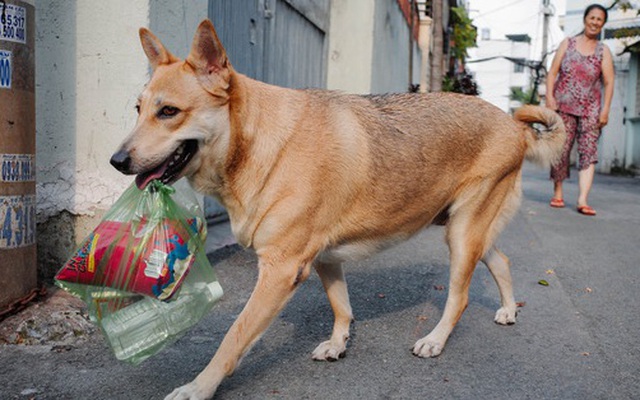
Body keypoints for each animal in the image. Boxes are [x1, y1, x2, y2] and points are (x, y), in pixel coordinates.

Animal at [110, 19, 564, 400]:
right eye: (138, 109)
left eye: (169, 112)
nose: (116, 161)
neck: (258, 142)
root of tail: (513, 125)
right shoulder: (324, 259)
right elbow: (341, 307)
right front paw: (338, 343)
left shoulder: (279, 271)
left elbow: (232, 339)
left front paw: (199, 387)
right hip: (466, 232)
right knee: (501, 260)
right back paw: (508, 309)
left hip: (462, 234)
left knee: (461, 296)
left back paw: (436, 339)